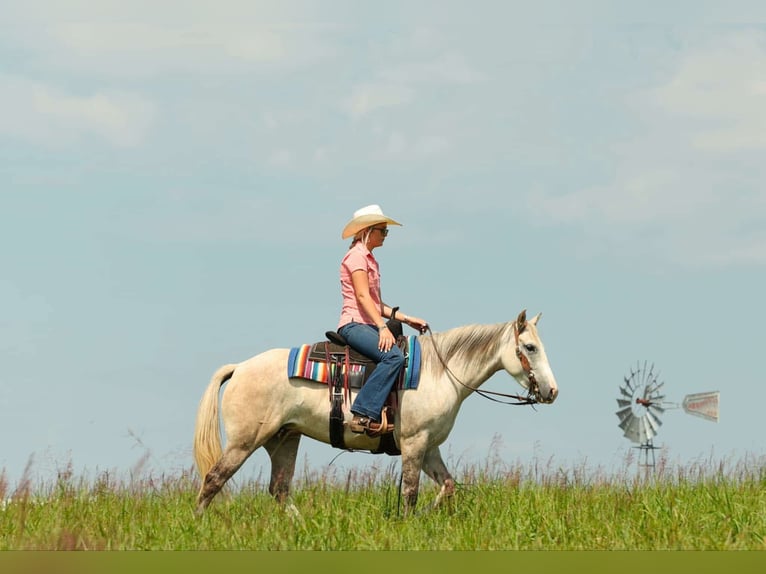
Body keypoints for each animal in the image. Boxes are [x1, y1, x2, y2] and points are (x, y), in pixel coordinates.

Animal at [193, 309, 558, 514]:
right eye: (529, 347)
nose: (552, 391)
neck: (440, 372)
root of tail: (240, 368)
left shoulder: (429, 447)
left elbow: (448, 486)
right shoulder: (414, 442)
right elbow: (410, 492)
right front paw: (408, 524)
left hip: (283, 439)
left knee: (280, 490)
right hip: (245, 441)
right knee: (214, 479)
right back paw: (199, 524)